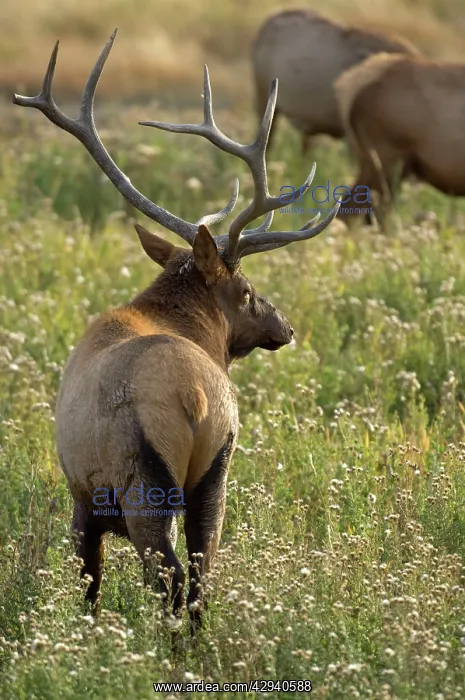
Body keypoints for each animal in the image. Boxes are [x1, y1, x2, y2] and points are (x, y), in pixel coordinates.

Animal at [13, 29, 339, 633]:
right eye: (248, 290)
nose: (284, 327)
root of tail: (196, 397)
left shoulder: (80, 497)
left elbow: (89, 588)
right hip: (216, 472)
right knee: (202, 574)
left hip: (143, 482)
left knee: (168, 578)